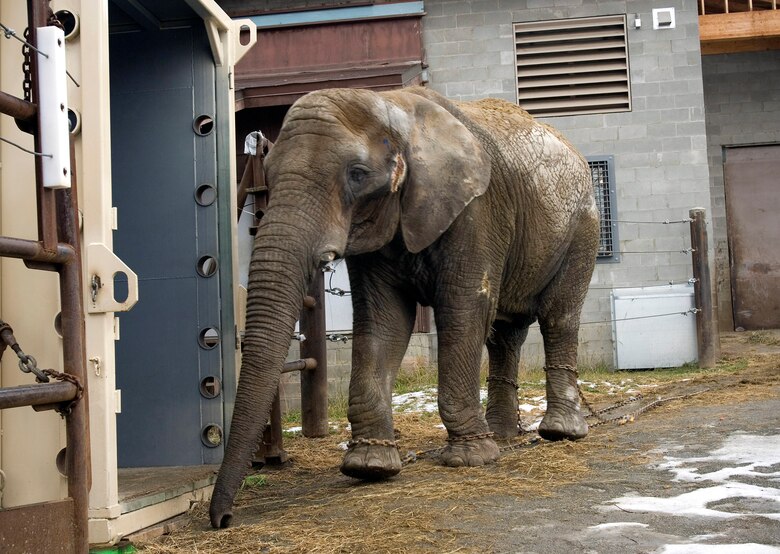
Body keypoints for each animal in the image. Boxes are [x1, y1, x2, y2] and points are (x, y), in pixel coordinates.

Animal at [209, 86, 600, 528]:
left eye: (358, 174)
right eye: (269, 173)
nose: (222, 520)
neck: (391, 107)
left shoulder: (477, 212)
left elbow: (464, 311)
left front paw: (469, 460)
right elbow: (384, 323)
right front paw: (370, 466)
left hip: (582, 227)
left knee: (558, 316)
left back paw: (559, 433)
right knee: (505, 334)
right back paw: (501, 435)